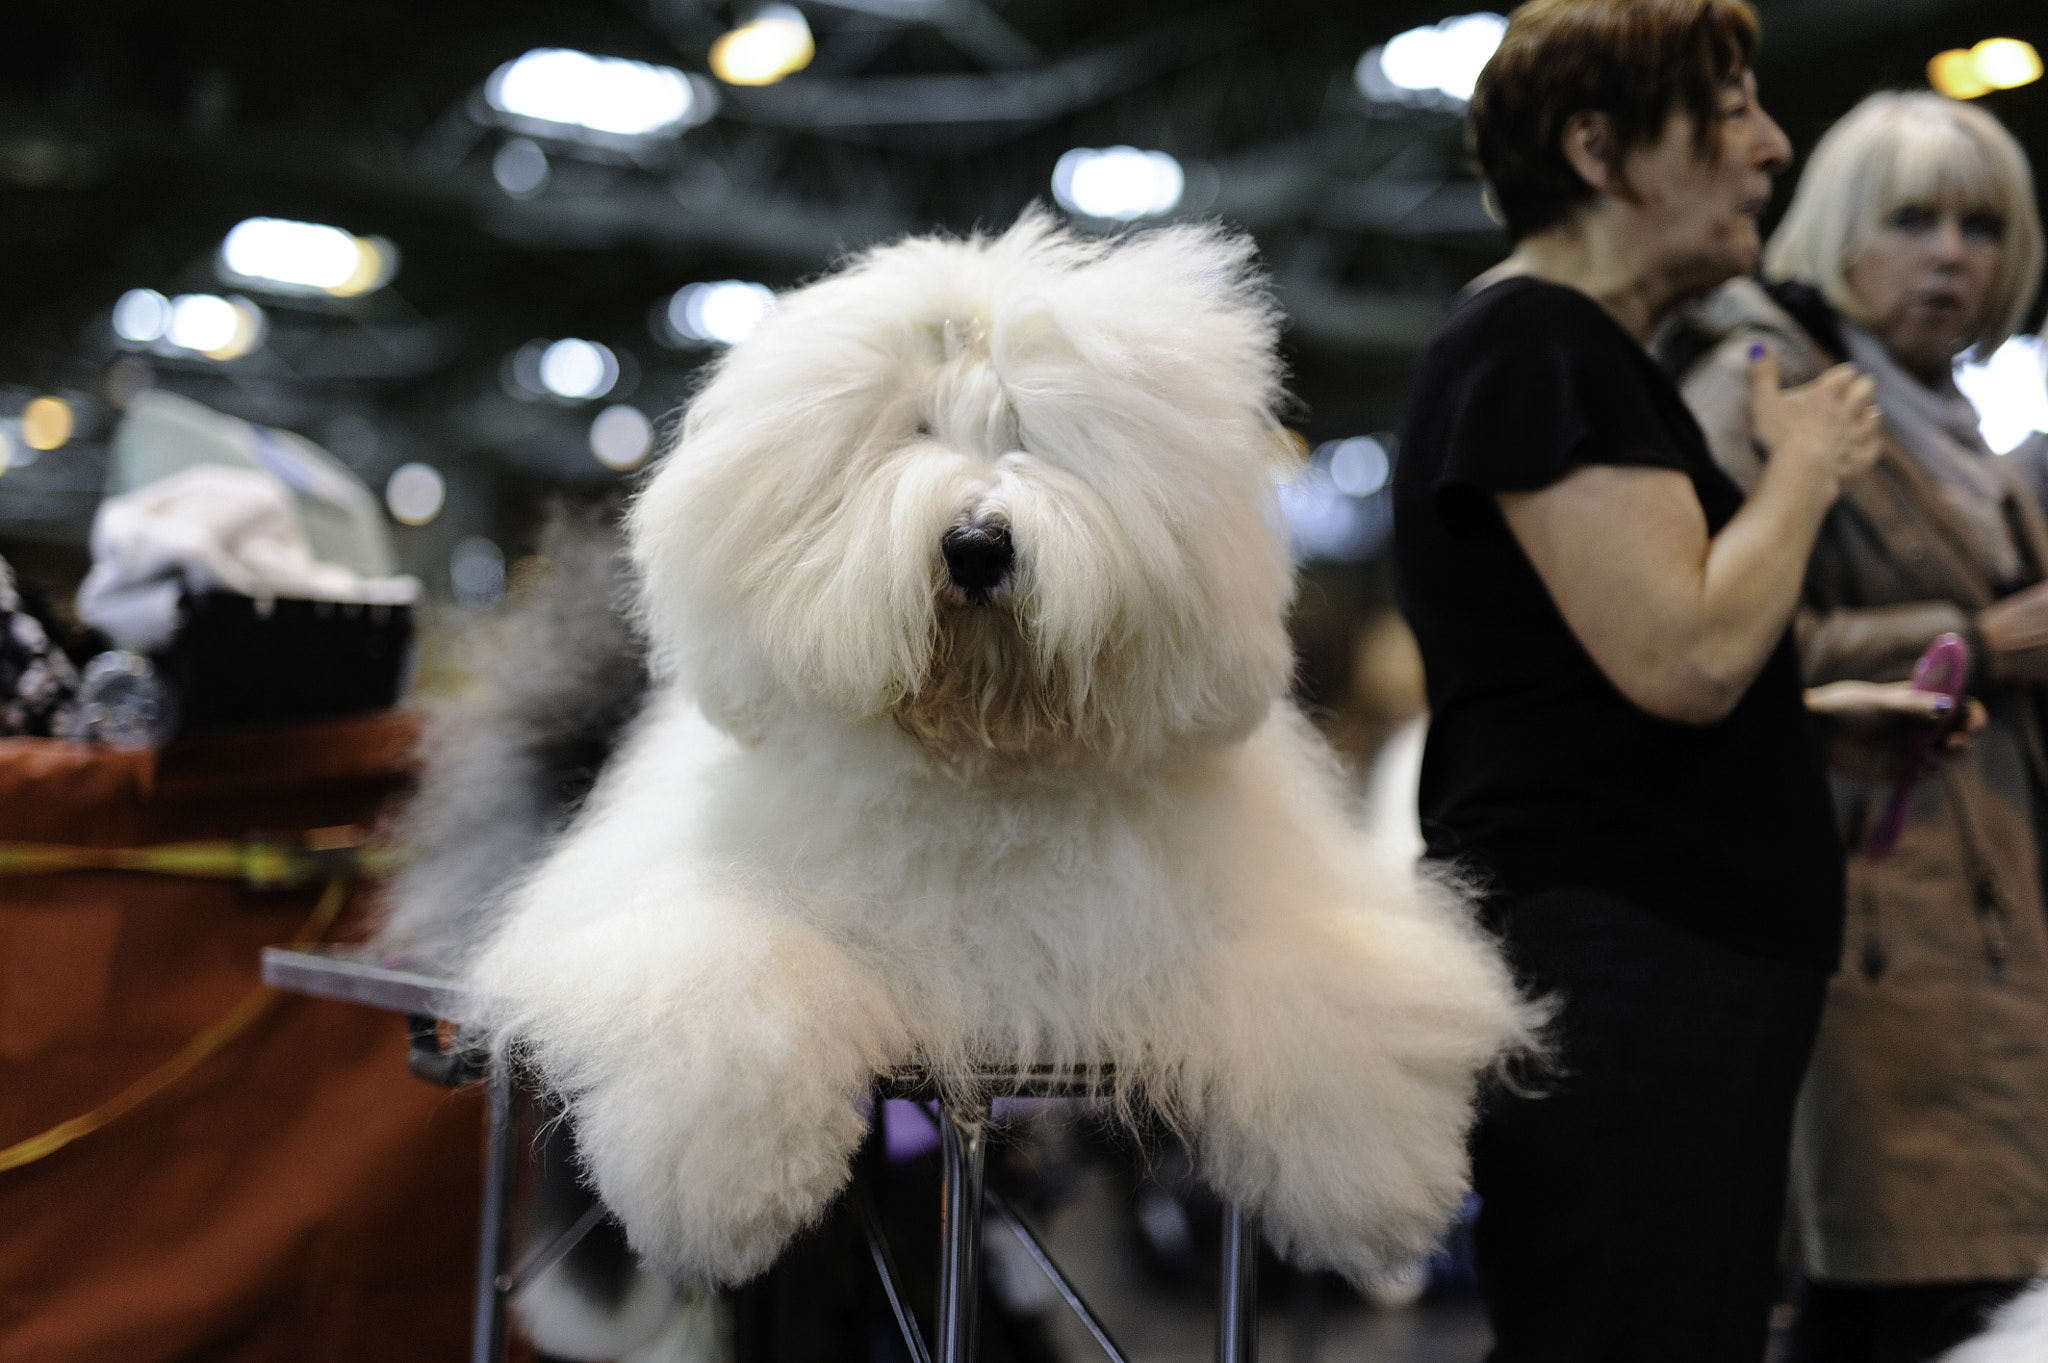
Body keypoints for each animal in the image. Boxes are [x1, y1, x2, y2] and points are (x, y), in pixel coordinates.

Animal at [464, 212, 1523, 1285]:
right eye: (913, 429)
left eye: (1032, 433)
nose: (977, 544)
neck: (985, 762)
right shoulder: (663, 910)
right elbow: (734, 967)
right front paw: (724, 1191)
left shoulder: (1265, 905)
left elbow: (1325, 979)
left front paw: (1378, 1192)